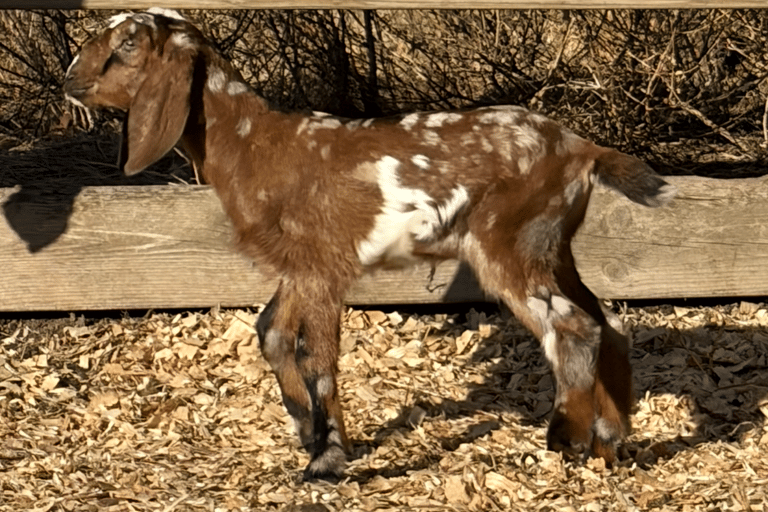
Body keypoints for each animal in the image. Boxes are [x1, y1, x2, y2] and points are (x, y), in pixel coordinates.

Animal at [64, 9, 675, 481]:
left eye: (126, 45)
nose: (70, 77)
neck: (253, 144)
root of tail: (581, 149)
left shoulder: (322, 264)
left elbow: (317, 358)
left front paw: (327, 459)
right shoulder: (301, 265)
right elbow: (272, 332)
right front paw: (306, 429)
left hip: (508, 241)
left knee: (572, 325)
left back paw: (565, 433)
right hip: (551, 244)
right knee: (607, 321)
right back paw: (609, 440)